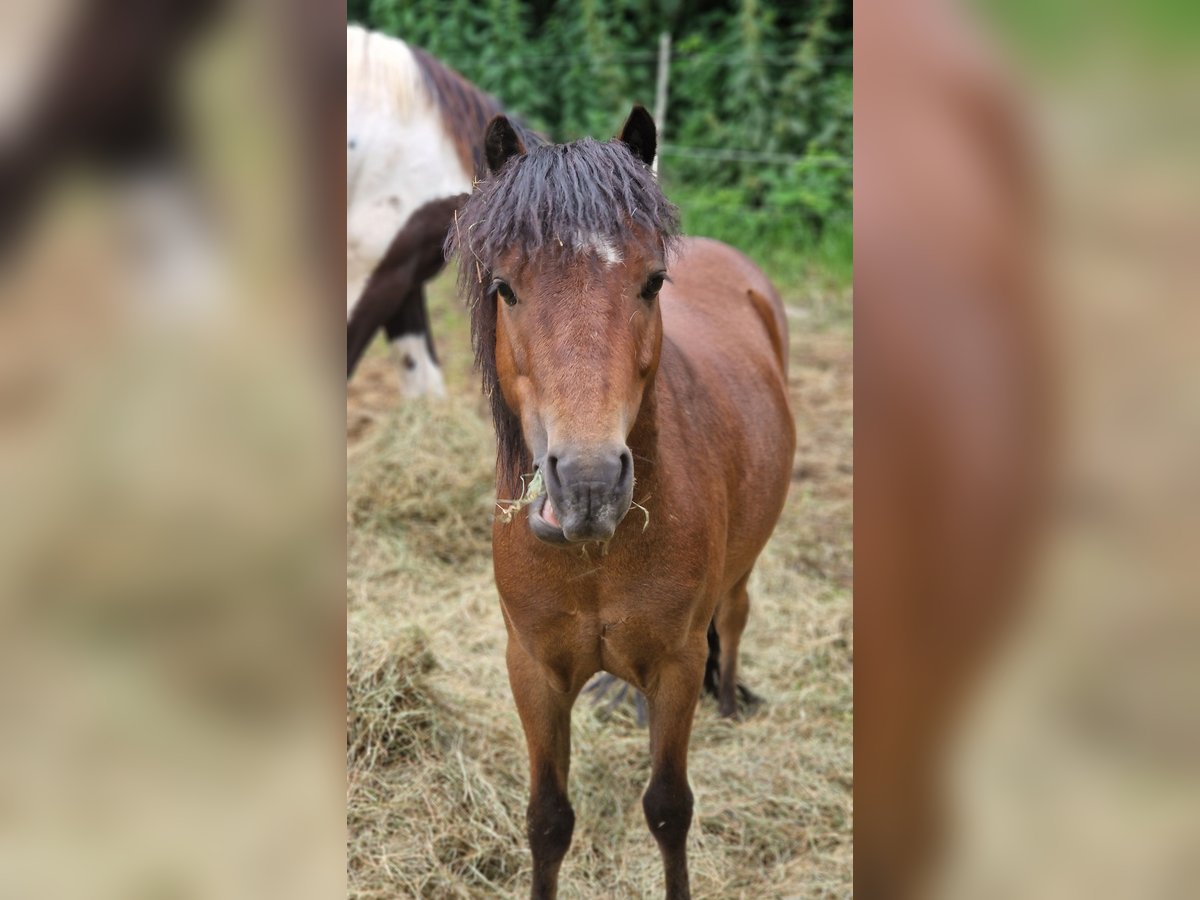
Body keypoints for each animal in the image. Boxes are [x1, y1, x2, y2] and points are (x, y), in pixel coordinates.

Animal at [451, 107, 796, 900]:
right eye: (505, 287)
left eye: (652, 282)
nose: (588, 484)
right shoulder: (533, 672)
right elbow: (547, 819)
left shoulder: (676, 666)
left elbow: (669, 808)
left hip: (738, 576)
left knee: (734, 620)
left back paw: (729, 704)